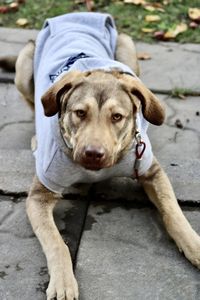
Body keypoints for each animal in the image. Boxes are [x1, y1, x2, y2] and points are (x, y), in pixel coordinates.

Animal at [0, 11, 199, 300]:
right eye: (79, 113)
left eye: (117, 117)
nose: (93, 154)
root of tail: (75, 14)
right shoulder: (40, 193)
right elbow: (56, 243)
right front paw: (63, 282)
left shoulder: (150, 169)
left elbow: (174, 214)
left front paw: (194, 245)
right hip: (24, 65)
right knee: (33, 102)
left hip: (127, 45)